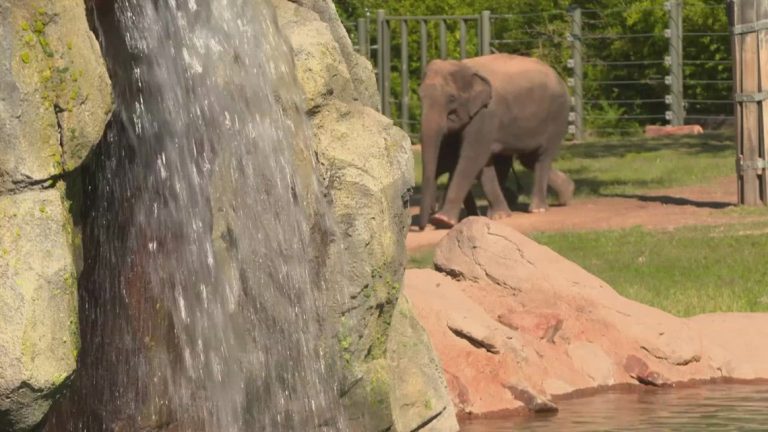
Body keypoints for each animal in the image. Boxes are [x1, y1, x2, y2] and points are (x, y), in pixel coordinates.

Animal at [416, 53, 572, 230]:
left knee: (542, 157)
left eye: (452, 98)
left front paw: (443, 221)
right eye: (420, 96)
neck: (465, 67)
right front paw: (500, 216)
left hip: (557, 117)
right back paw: (567, 194)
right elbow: (482, 163)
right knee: (528, 159)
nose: (423, 227)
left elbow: (473, 157)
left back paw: (538, 209)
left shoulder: (486, 114)